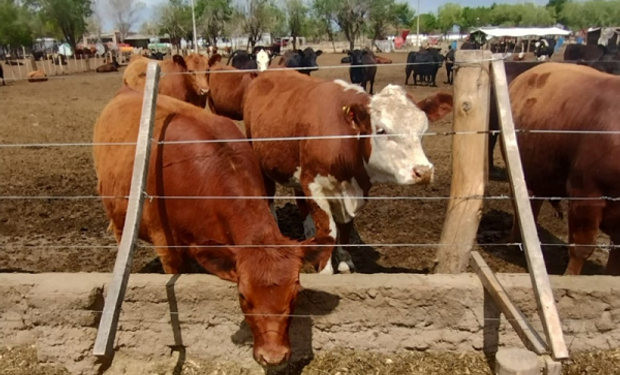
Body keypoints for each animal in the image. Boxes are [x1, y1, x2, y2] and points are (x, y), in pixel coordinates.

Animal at [245, 72, 452, 274]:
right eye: (381, 130)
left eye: (423, 130)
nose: (424, 171)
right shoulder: (314, 185)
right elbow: (328, 229)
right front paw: (325, 268)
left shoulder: (354, 192)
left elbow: (344, 229)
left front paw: (344, 262)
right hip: (260, 160)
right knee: (269, 196)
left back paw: (309, 232)